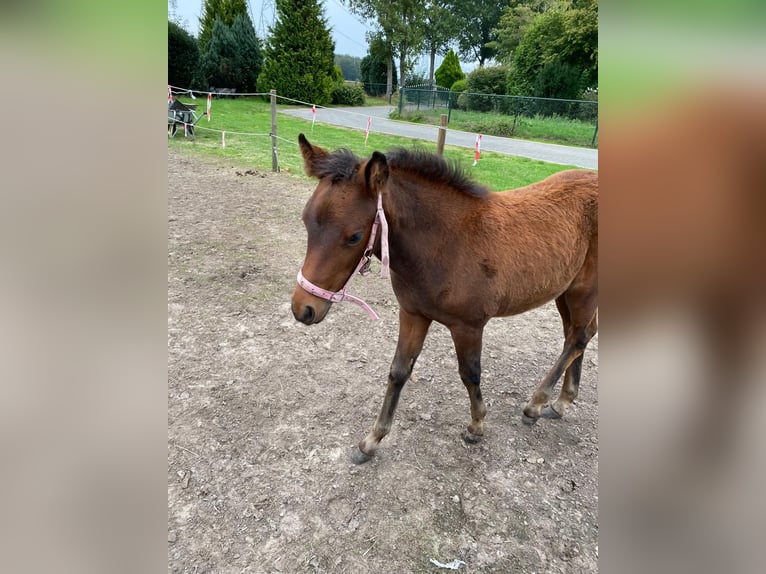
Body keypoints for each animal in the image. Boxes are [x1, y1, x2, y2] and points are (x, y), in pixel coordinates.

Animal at [291, 134, 598, 464]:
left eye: (354, 236)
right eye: (305, 221)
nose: (303, 309)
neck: (446, 243)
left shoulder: (469, 326)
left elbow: (470, 374)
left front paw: (476, 426)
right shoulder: (413, 314)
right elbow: (398, 371)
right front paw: (372, 440)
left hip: (584, 291)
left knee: (577, 339)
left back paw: (536, 404)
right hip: (565, 292)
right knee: (578, 336)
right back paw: (562, 401)